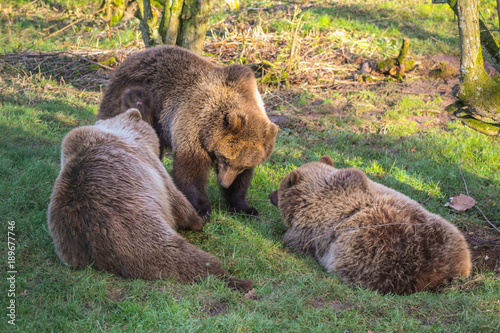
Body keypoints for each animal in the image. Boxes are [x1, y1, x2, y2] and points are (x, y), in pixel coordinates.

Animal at [47, 107, 254, 290]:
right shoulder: (150, 165)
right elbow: (176, 198)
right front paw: (198, 219)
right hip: (139, 228)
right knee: (182, 257)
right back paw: (237, 279)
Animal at [97, 46, 278, 218]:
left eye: (241, 166)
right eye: (225, 159)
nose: (224, 182)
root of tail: (132, 57)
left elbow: (242, 183)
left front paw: (245, 207)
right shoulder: (193, 125)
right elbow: (190, 168)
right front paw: (202, 208)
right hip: (135, 99)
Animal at [270, 156, 472, 294]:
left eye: (279, 187)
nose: (270, 195)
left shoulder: (311, 227)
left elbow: (296, 239)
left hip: (373, 251)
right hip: (449, 234)